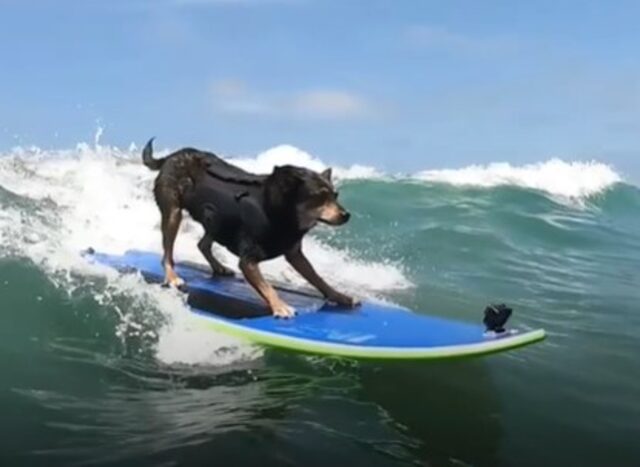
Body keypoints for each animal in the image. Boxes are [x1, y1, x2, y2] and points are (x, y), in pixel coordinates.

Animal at [141, 136, 360, 318]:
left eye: (335, 195)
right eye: (319, 197)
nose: (346, 215)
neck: (279, 211)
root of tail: (173, 155)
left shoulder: (295, 254)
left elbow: (317, 278)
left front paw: (339, 296)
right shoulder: (248, 261)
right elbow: (267, 287)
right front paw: (280, 306)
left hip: (219, 219)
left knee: (203, 243)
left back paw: (218, 267)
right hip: (174, 213)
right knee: (167, 253)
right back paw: (172, 276)